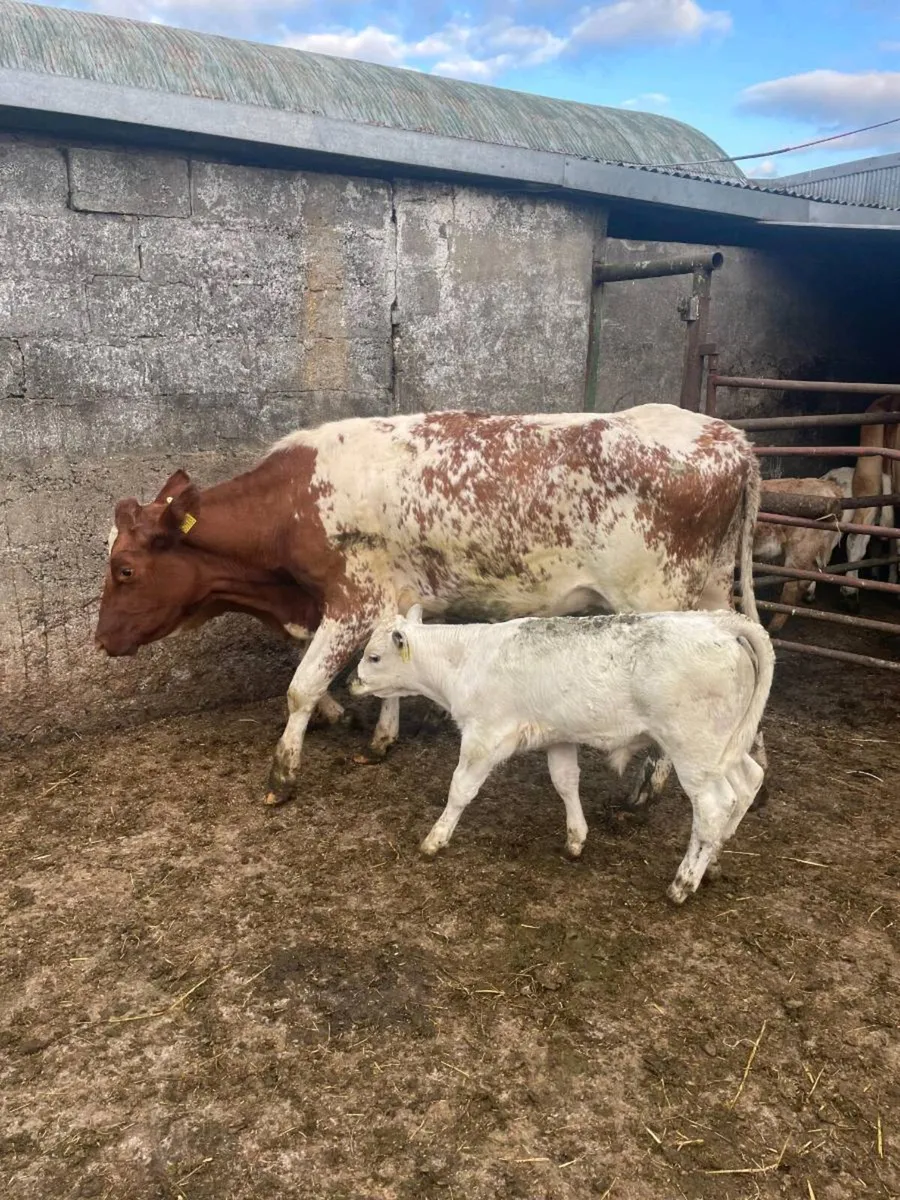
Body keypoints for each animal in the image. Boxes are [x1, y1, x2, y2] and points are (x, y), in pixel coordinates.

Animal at [95, 405, 763, 807]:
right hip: (711, 587)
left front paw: (282, 775)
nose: (102, 641)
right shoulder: (393, 596)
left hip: (662, 597)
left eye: (125, 570)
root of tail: (730, 435)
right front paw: (381, 738)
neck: (291, 506)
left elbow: (301, 687)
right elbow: (389, 669)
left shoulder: (353, 599)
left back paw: (651, 787)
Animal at [350, 606, 774, 904]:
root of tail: (720, 622)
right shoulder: (558, 736)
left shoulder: (484, 737)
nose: (352, 682)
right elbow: (566, 783)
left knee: (714, 807)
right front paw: (576, 839)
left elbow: (460, 789)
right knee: (749, 781)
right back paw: (714, 860)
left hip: (694, 751)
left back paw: (683, 883)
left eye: (373, 657)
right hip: (725, 747)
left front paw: (435, 839)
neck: (468, 658)